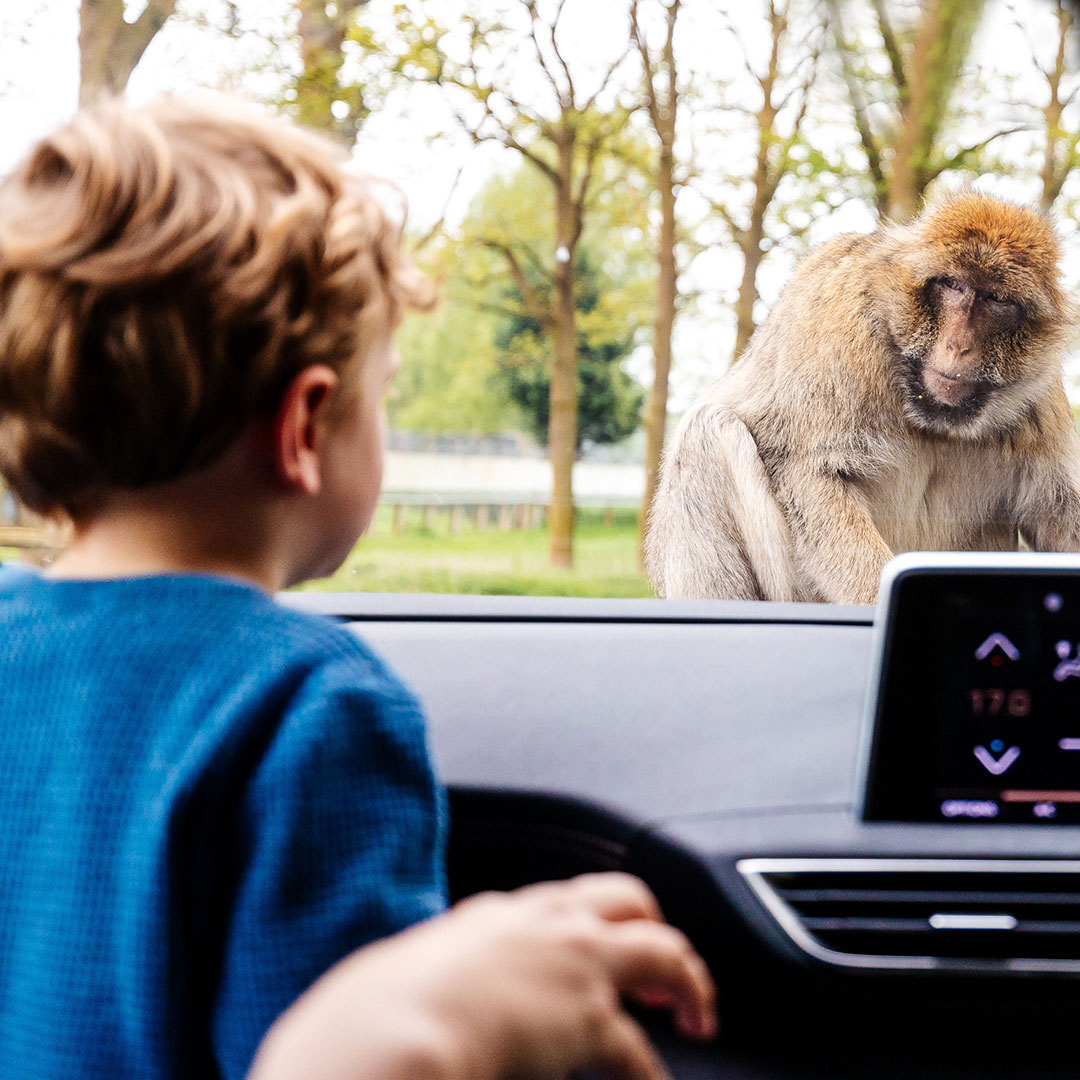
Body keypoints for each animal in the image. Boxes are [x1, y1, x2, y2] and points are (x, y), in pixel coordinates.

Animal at [643, 189, 1075, 604]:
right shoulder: (845, 340)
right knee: (706, 432)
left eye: (997, 299)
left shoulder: (1040, 391)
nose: (958, 346)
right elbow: (809, 473)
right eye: (954, 285)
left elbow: (1058, 514)